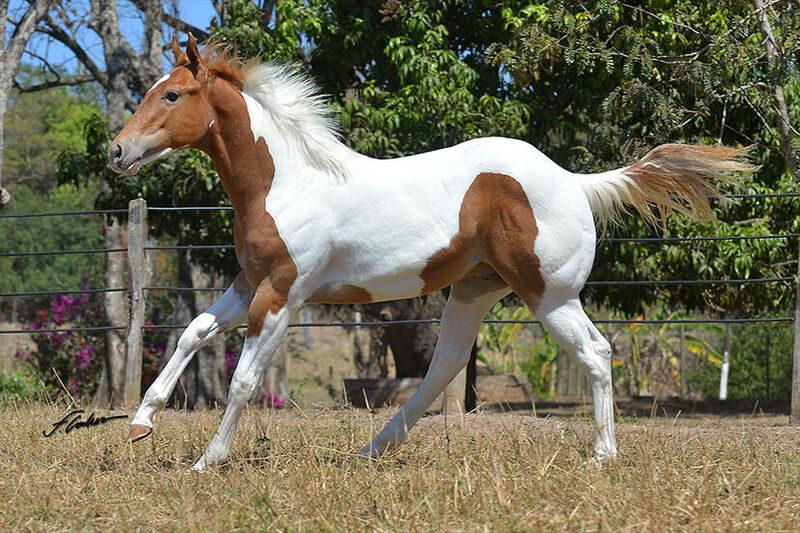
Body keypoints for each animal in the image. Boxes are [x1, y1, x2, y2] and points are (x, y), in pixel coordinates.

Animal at [109, 33, 752, 468]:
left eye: (172, 95)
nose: (117, 151)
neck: (286, 180)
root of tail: (575, 181)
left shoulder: (283, 294)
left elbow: (244, 379)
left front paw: (207, 461)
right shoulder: (250, 284)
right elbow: (193, 330)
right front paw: (141, 422)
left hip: (550, 295)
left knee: (594, 353)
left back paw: (603, 455)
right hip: (473, 291)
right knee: (444, 367)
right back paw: (372, 449)